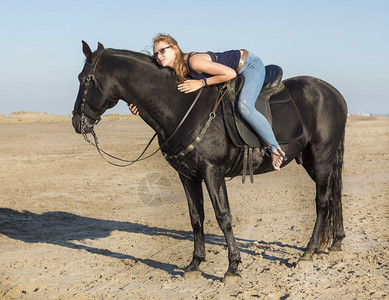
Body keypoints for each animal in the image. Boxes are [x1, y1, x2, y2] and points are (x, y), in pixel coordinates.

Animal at [72, 41, 346, 280]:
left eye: (84, 79)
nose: (77, 122)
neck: (181, 108)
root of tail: (334, 93)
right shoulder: (187, 175)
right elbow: (196, 218)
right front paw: (195, 263)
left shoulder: (211, 171)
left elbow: (223, 216)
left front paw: (233, 267)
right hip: (316, 161)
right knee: (334, 195)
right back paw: (336, 242)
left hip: (321, 158)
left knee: (322, 202)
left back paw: (308, 252)